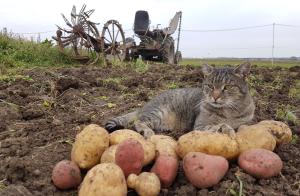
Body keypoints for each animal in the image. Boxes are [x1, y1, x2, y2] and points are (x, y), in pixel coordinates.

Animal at [105, 62, 255, 138]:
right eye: (210, 86)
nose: (215, 96)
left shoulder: (247, 122)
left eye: (227, 87)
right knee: (138, 122)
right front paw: (226, 129)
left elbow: (242, 126)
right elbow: (219, 125)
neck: (230, 112)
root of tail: (144, 106)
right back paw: (147, 132)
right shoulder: (199, 125)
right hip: (156, 113)